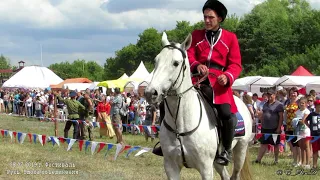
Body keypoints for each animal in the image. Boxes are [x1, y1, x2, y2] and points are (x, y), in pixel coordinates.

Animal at [146, 32, 254, 180]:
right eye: (156, 61)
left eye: (176, 63)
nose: (150, 92)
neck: (181, 124)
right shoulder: (171, 167)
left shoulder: (206, 168)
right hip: (217, 162)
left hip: (240, 151)